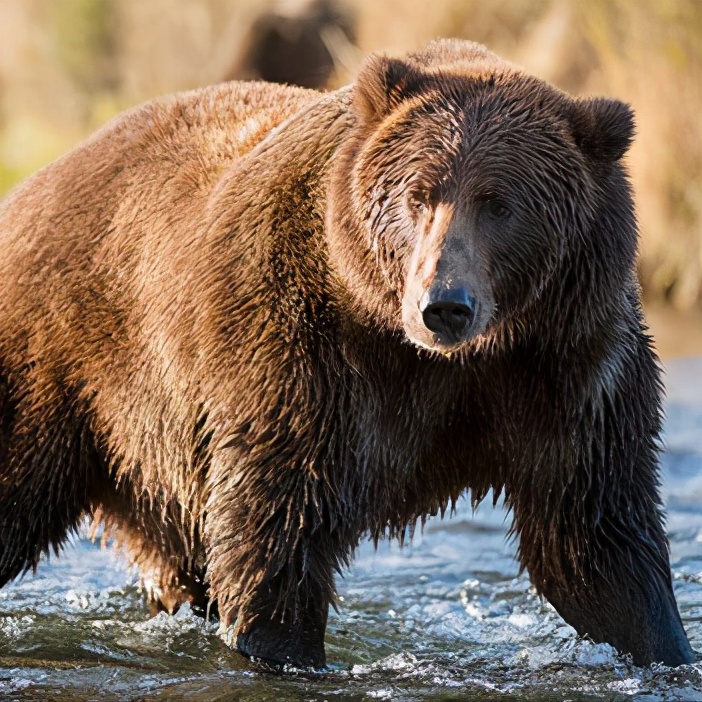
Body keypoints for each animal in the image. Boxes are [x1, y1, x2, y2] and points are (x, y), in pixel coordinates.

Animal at [0, 38, 696, 672]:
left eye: (500, 202)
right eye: (419, 194)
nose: (444, 305)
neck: (447, 359)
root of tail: (35, 184)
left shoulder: (570, 366)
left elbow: (594, 539)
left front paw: (663, 645)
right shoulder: (299, 350)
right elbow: (278, 526)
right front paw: (281, 650)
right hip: (63, 360)